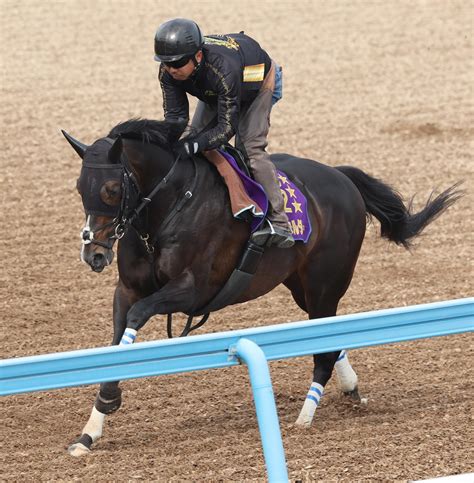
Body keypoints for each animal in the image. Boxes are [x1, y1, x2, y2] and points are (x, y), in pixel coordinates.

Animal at [61, 119, 462, 456]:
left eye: (112, 190)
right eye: (80, 188)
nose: (94, 253)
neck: (170, 205)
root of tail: (340, 175)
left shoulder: (192, 289)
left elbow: (137, 316)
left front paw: (109, 403)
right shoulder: (127, 289)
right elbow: (118, 336)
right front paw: (89, 432)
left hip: (325, 284)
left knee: (323, 349)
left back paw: (305, 417)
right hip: (301, 287)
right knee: (326, 334)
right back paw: (349, 387)